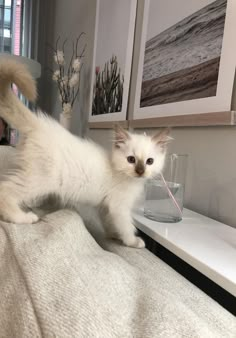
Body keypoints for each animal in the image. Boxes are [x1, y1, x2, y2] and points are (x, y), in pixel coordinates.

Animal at [0, 59, 171, 247]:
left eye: (150, 161)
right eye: (131, 159)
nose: (140, 171)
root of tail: (39, 124)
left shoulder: (106, 206)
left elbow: (109, 222)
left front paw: (113, 235)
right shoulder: (119, 206)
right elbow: (126, 226)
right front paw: (133, 242)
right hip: (40, 179)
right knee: (5, 190)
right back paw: (22, 217)